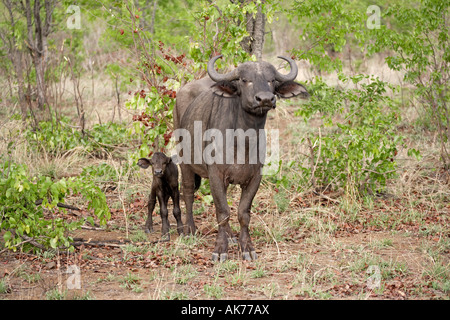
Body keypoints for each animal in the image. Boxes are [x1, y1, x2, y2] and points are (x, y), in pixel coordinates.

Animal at [173, 54, 310, 260]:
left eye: (271, 80)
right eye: (245, 80)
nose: (265, 99)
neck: (243, 140)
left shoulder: (254, 177)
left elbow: (242, 212)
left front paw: (246, 247)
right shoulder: (215, 174)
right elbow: (223, 212)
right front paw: (220, 249)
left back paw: (230, 235)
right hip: (185, 161)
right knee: (188, 192)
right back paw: (190, 229)